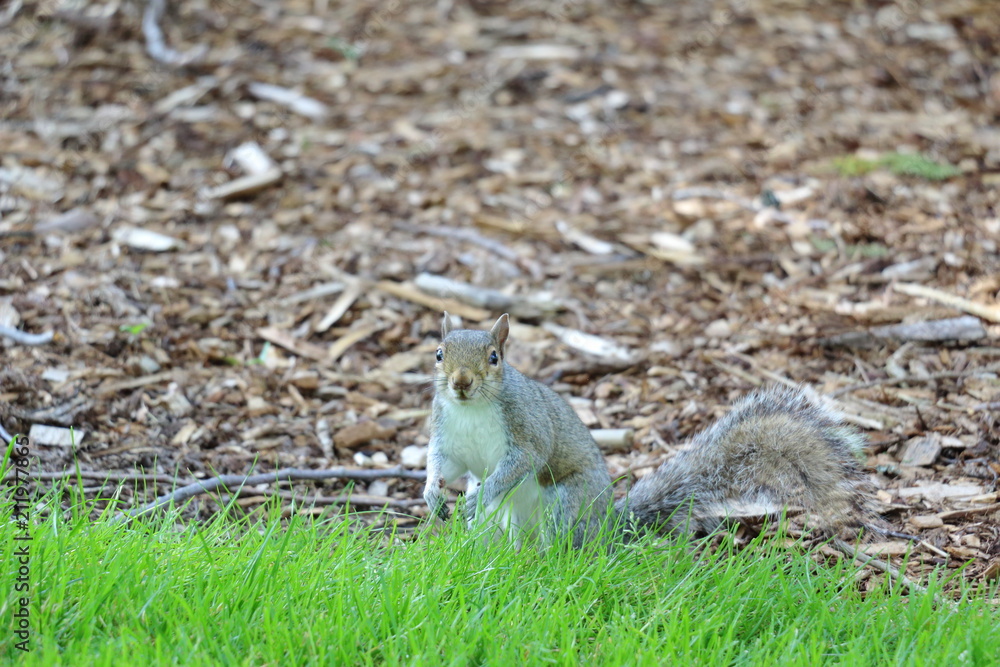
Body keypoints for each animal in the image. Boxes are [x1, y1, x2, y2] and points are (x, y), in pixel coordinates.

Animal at [423, 313, 868, 547]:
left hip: (566, 502)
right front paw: (432, 494)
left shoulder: (527, 431)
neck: (472, 409)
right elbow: (442, 463)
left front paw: (474, 495)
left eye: (494, 358)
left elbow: (518, 465)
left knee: (560, 539)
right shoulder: (448, 436)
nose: (461, 382)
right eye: (439, 353)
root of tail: (607, 525)